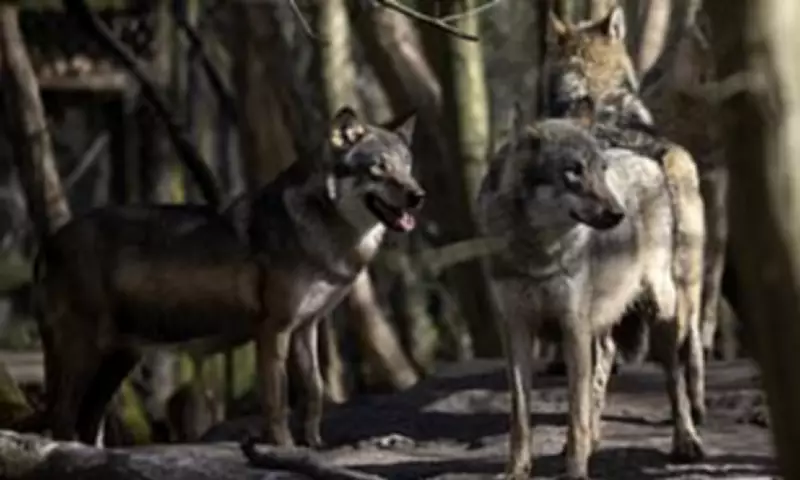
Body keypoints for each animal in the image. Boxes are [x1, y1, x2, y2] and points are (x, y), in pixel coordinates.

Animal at [32, 106, 423, 447]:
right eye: (379, 168)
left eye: (407, 166)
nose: (418, 195)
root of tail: (49, 242)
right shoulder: (273, 330)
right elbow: (278, 400)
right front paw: (285, 448)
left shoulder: (306, 329)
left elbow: (314, 393)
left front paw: (314, 445)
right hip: (82, 356)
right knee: (62, 417)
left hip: (117, 362)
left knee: (87, 422)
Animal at [477, 114, 706, 479]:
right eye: (573, 171)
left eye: (601, 169)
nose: (618, 213)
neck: (538, 251)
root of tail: (647, 156)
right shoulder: (516, 329)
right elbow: (521, 415)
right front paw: (516, 470)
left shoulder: (573, 327)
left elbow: (575, 413)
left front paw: (575, 470)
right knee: (608, 355)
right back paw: (593, 440)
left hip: (661, 309)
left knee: (675, 379)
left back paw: (686, 441)